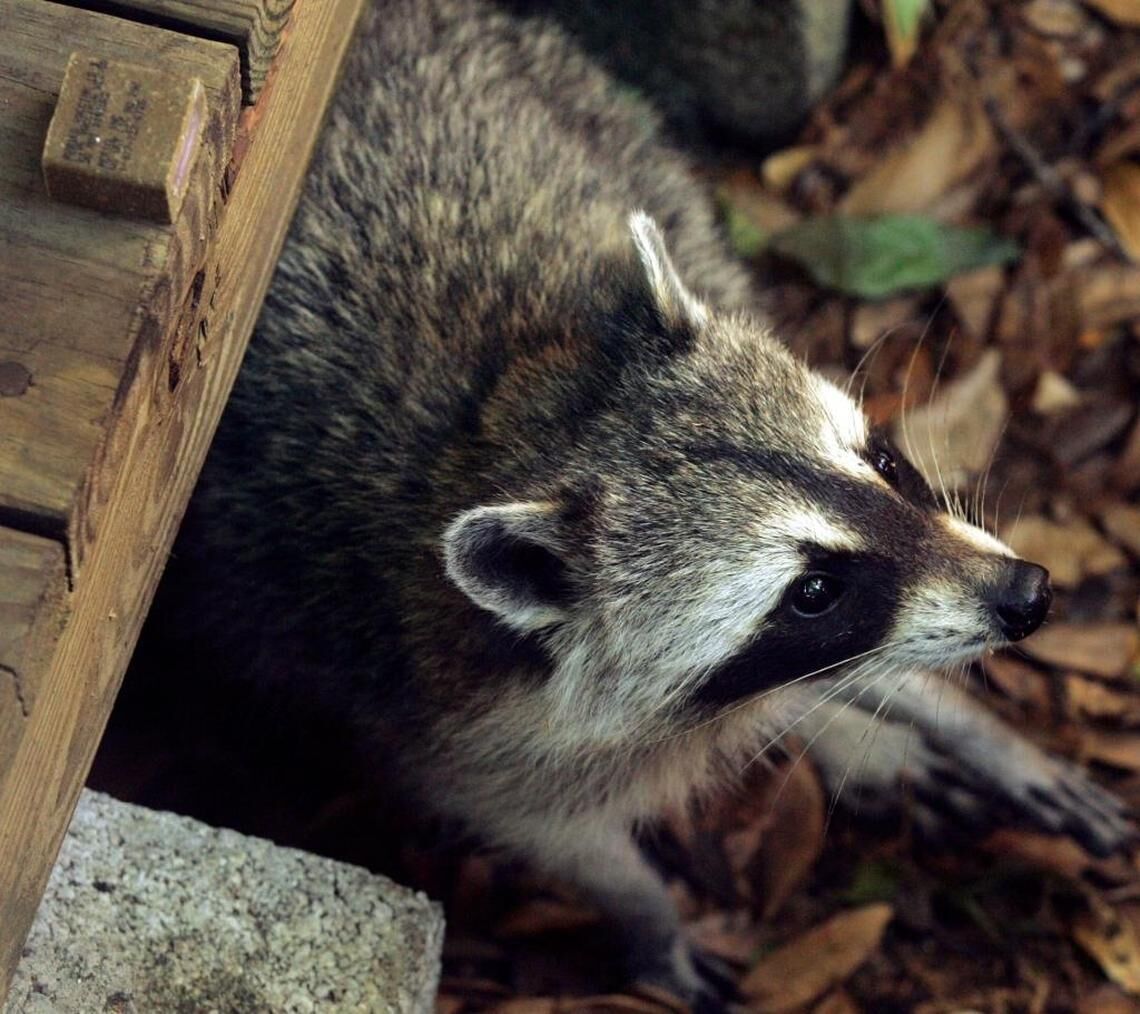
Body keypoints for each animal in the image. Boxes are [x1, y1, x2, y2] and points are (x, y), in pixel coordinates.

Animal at [159, 0, 1131, 1006]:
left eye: (886, 463)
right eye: (814, 592)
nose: (1027, 596)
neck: (524, 419)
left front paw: (954, 722)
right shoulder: (422, 696)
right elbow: (531, 820)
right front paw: (645, 909)